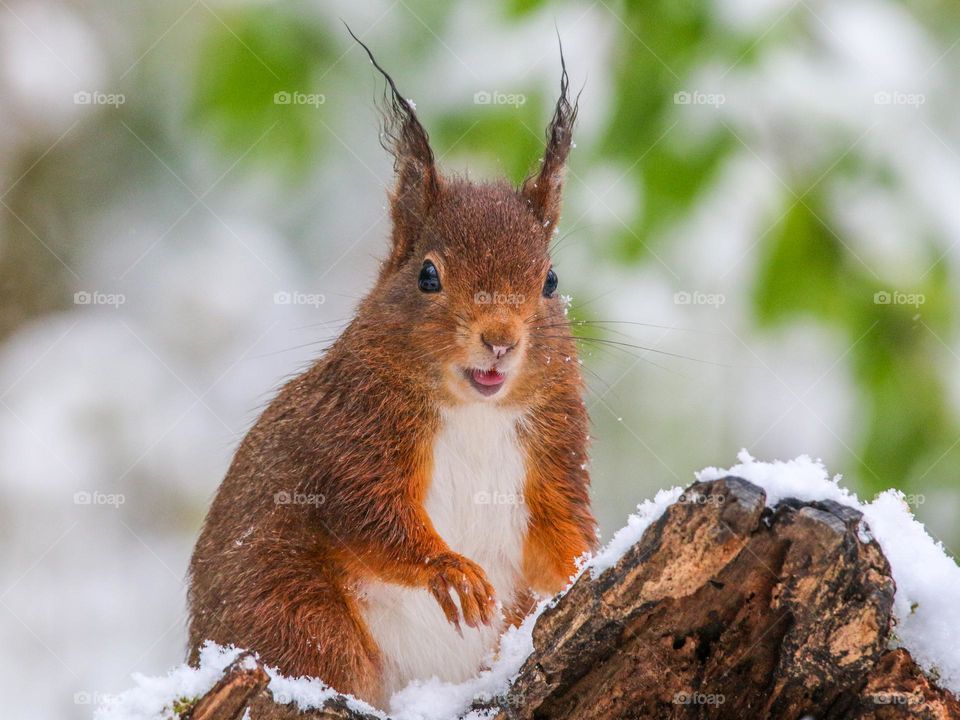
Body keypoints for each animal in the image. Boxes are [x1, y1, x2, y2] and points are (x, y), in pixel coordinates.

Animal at [184, 35, 596, 708]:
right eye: (428, 275)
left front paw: (588, 566)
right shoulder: (352, 432)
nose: (500, 340)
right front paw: (449, 571)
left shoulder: (556, 447)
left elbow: (562, 530)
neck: (476, 411)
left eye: (551, 281)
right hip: (292, 610)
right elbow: (369, 516)